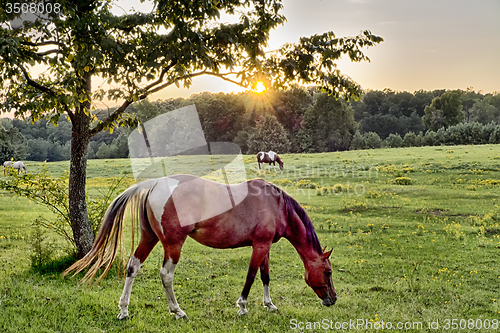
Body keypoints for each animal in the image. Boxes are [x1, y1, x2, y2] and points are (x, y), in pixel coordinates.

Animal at [63, 175, 336, 318]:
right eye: (328, 272)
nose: (332, 299)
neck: (274, 204)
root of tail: (155, 184)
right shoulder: (259, 246)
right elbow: (250, 276)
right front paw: (242, 306)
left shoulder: (264, 246)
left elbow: (265, 276)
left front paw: (269, 304)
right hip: (173, 245)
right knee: (166, 275)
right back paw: (177, 310)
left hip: (149, 238)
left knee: (132, 267)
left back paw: (124, 310)